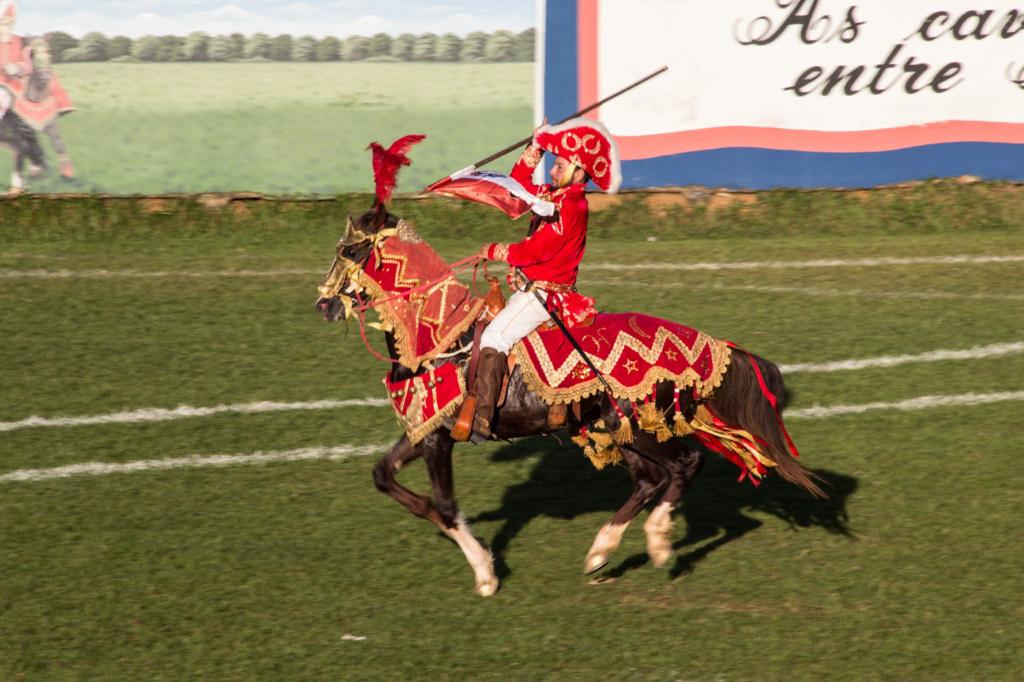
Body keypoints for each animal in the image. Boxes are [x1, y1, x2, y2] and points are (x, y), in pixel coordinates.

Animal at [315, 202, 827, 593]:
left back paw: (658, 543)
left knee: (685, 465)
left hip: (640, 427)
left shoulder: (440, 438)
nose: (324, 305)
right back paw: (600, 553)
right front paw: (445, 528)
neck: (438, 336)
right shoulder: (422, 431)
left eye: (352, 250)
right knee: (649, 480)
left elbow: (444, 504)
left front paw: (485, 572)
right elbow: (384, 476)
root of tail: (704, 343)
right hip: (617, 429)